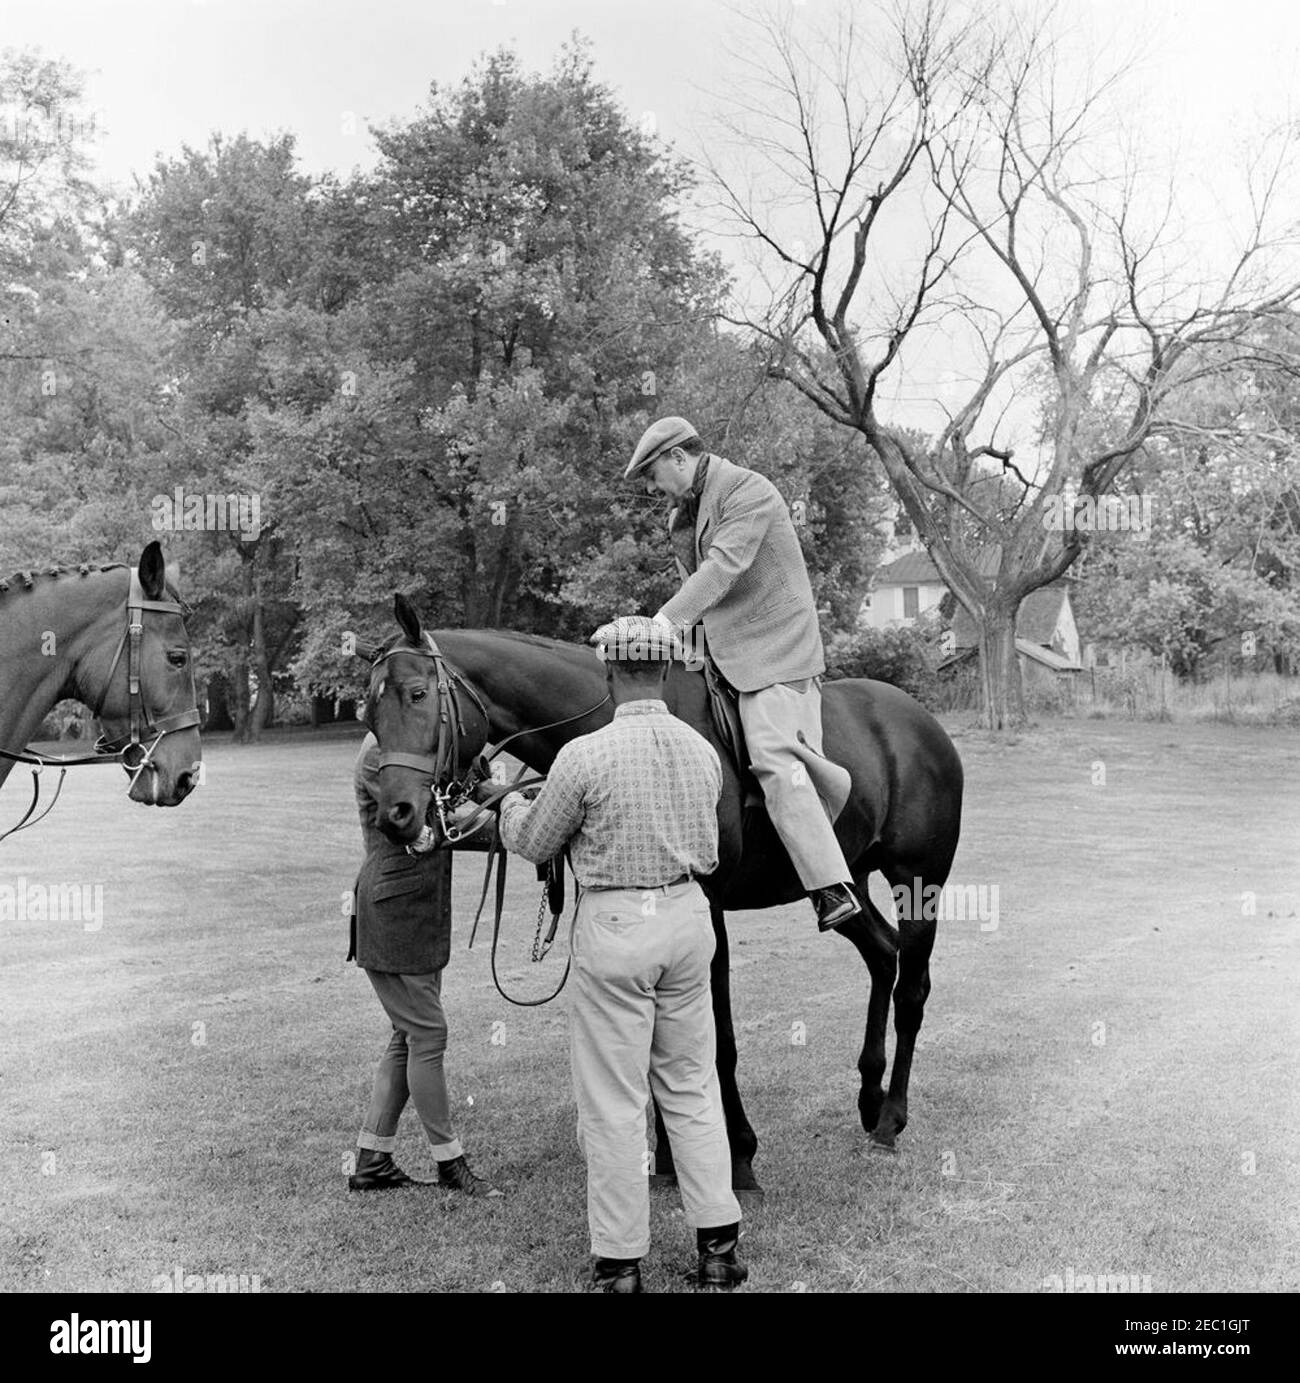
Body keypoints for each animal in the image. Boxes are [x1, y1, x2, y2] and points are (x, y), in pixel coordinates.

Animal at [359, 600, 957, 1194]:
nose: (396, 815)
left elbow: (716, 1040)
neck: (629, 719)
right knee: (882, 954)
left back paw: (889, 1121)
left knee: (912, 992)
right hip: (845, 877)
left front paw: (738, 1155)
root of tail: (919, 720)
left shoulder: (704, 907)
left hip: (918, 885)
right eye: (369, 714)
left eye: (417, 694)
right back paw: (870, 1098)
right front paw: (671, 1156)